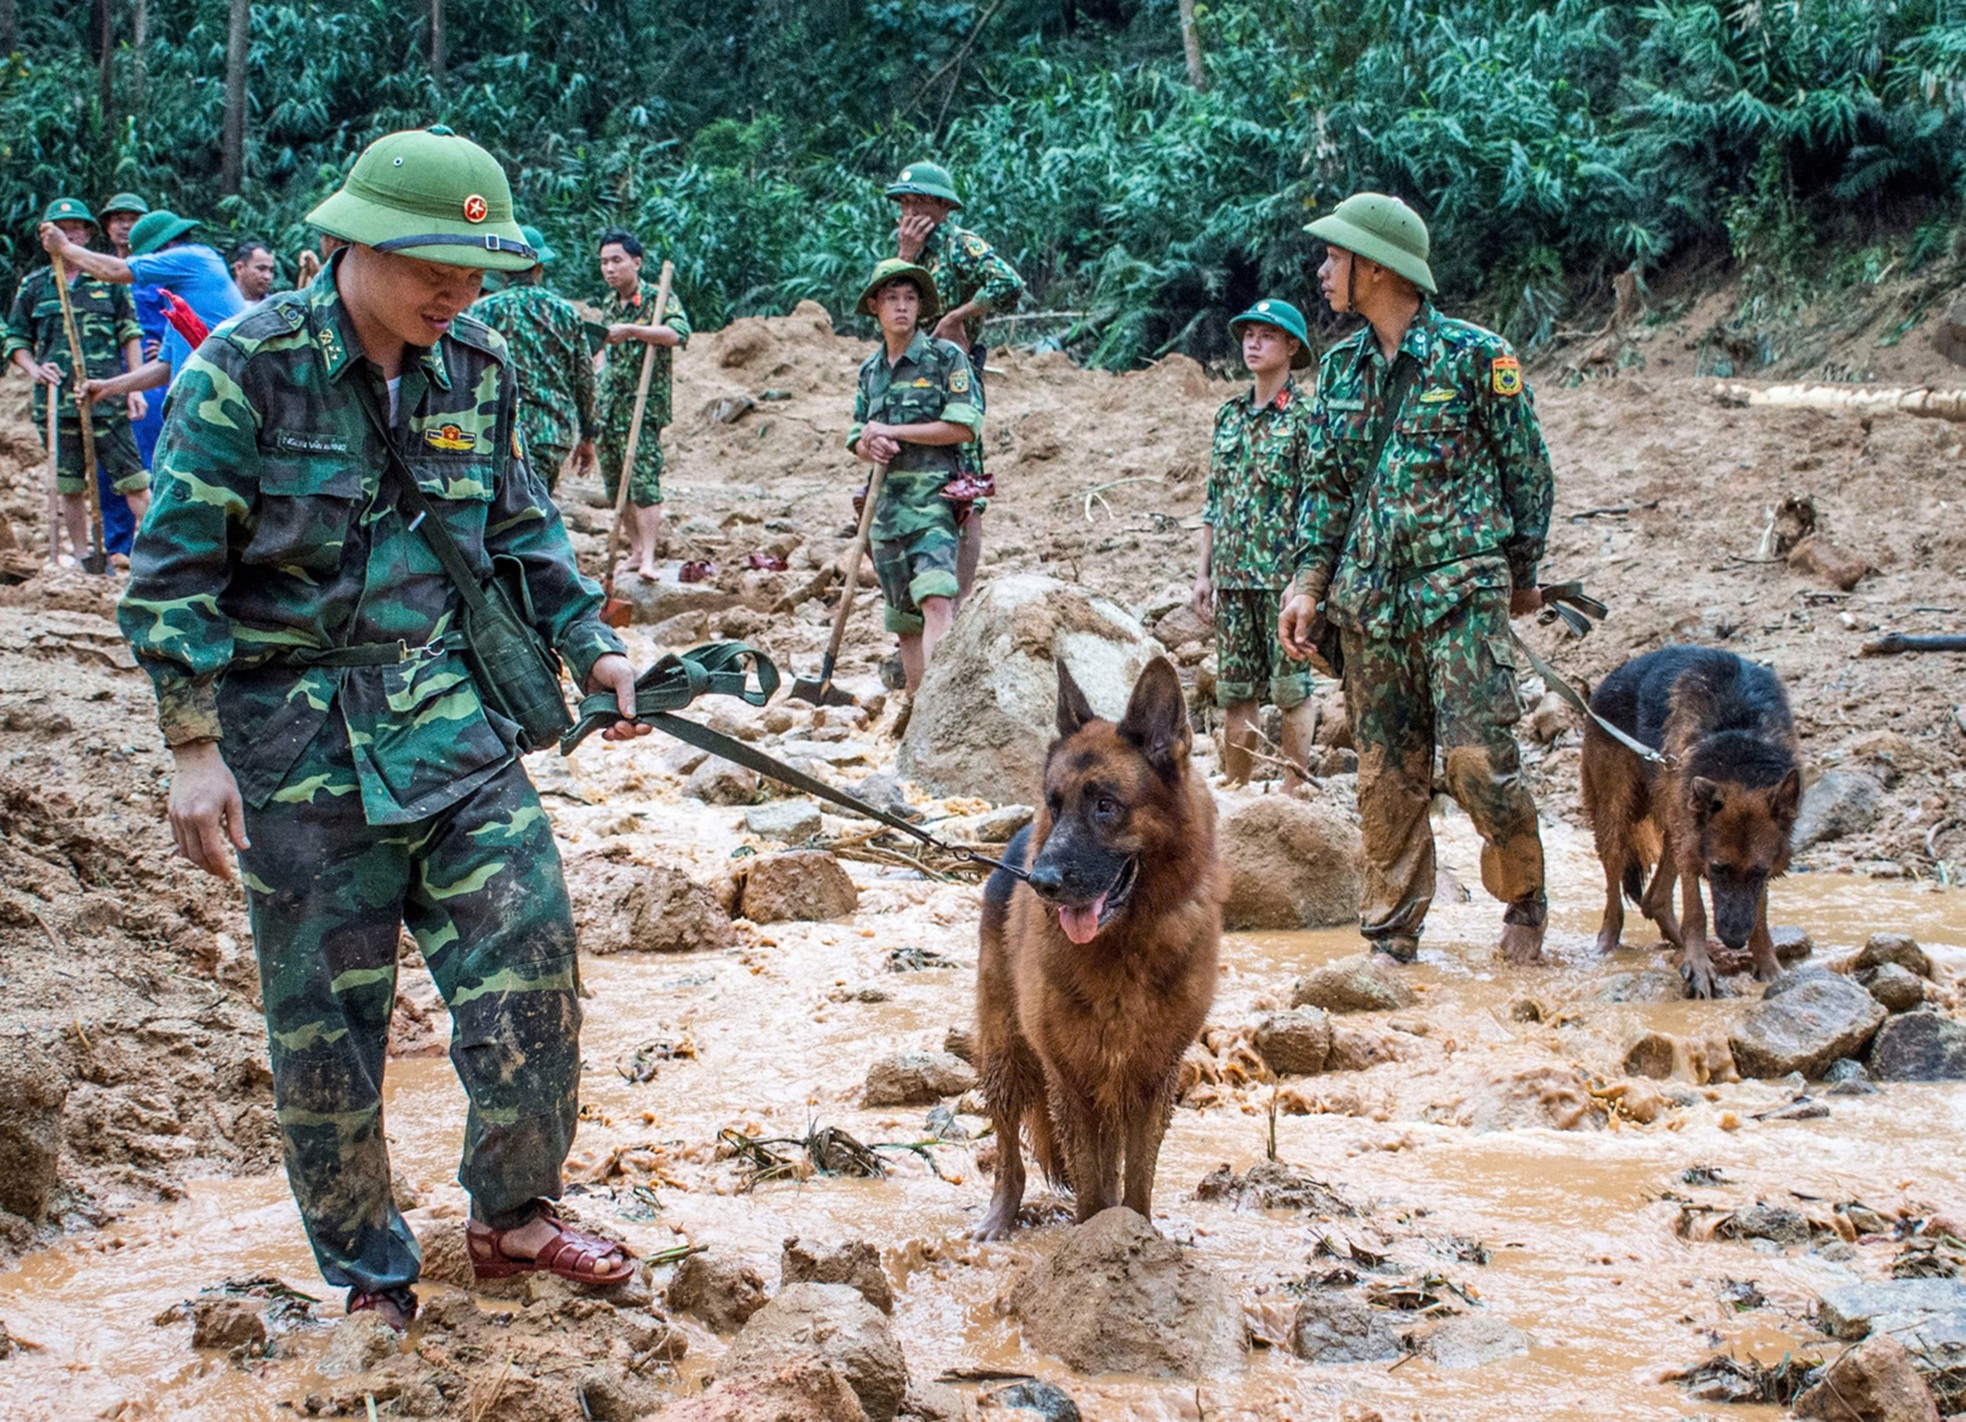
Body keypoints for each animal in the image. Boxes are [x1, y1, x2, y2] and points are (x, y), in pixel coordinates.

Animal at [971, 660, 1218, 1243]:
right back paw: (999, 1217)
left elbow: (1136, 1181)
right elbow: (1089, 1184)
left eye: (1106, 806)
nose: (1041, 883)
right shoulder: (1070, 1080)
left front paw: (1134, 1234)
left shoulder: (1151, 1080)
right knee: (1008, 1153)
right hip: (1006, 1053)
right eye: (1055, 804)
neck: (1123, 947)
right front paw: (1092, 1240)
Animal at [1580, 649, 1800, 1003]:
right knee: (1615, 892)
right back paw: (1607, 944)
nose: (1733, 941)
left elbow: (1760, 916)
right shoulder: (1696, 852)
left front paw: (1768, 966)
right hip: (1619, 820)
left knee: (1654, 899)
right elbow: (1696, 912)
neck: (1740, 744)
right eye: (1718, 869)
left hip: (1677, 823)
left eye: (1759, 872)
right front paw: (1698, 967)